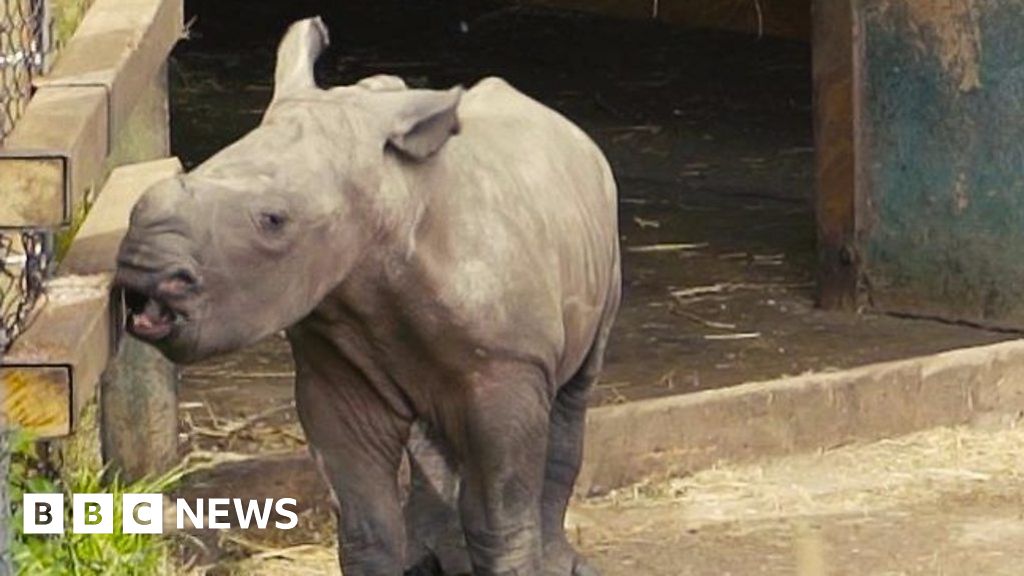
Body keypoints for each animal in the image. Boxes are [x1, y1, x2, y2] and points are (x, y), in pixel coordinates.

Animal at [116, 17, 618, 573]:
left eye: (273, 220)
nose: (142, 266)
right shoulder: (336, 367)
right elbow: (365, 525)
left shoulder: (508, 365)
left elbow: (500, 518)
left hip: (603, 224)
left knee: (573, 395)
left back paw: (558, 560)